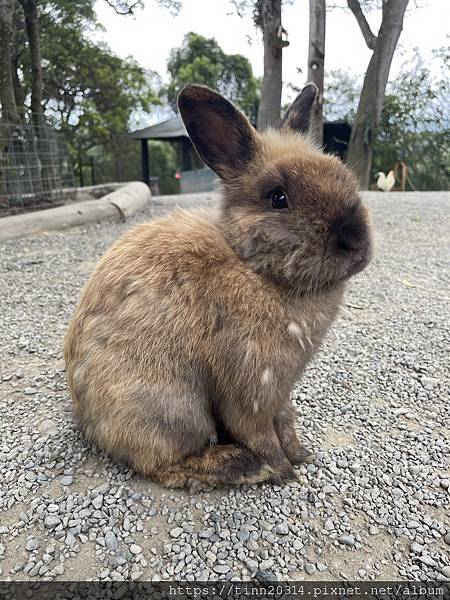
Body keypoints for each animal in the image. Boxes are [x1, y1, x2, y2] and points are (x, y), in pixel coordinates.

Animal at [64, 83, 372, 488]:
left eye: (343, 176)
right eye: (278, 198)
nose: (355, 241)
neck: (254, 268)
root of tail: (88, 420)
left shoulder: (280, 391)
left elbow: (286, 422)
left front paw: (302, 455)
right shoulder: (251, 386)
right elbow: (260, 433)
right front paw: (284, 471)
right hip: (173, 408)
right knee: (162, 464)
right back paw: (240, 466)